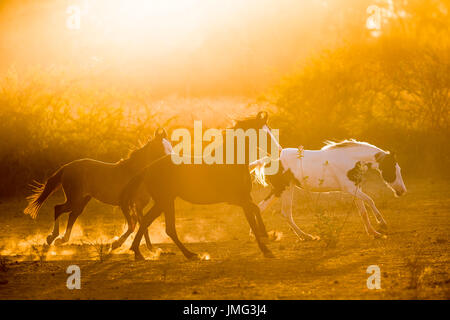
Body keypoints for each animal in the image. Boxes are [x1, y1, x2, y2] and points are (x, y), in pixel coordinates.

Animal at [23, 129, 173, 249]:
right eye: (160, 147)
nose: (171, 161)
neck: (135, 174)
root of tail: (67, 167)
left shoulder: (139, 205)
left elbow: (143, 225)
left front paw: (150, 248)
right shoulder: (125, 204)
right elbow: (132, 225)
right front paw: (116, 243)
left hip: (82, 200)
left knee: (72, 215)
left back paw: (62, 240)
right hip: (74, 199)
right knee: (58, 209)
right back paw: (52, 238)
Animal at [119, 112, 282, 260]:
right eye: (264, 134)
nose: (279, 150)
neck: (231, 164)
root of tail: (147, 168)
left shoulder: (245, 198)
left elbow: (254, 213)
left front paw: (267, 240)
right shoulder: (237, 199)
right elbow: (254, 214)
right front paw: (266, 244)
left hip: (163, 202)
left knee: (151, 222)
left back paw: (142, 252)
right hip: (165, 201)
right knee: (165, 227)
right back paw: (186, 254)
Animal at [256, 139, 408, 239]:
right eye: (393, 169)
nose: (402, 191)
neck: (350, 160)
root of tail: (269, 160)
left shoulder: (355, 190)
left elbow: (363, 212)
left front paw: (374, 233)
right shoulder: (350, 189)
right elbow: (370, 200)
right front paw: (382, 224)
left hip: (285, 189)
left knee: (282, 212)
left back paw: (305, 236)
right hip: (281, 189)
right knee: (272, 210)